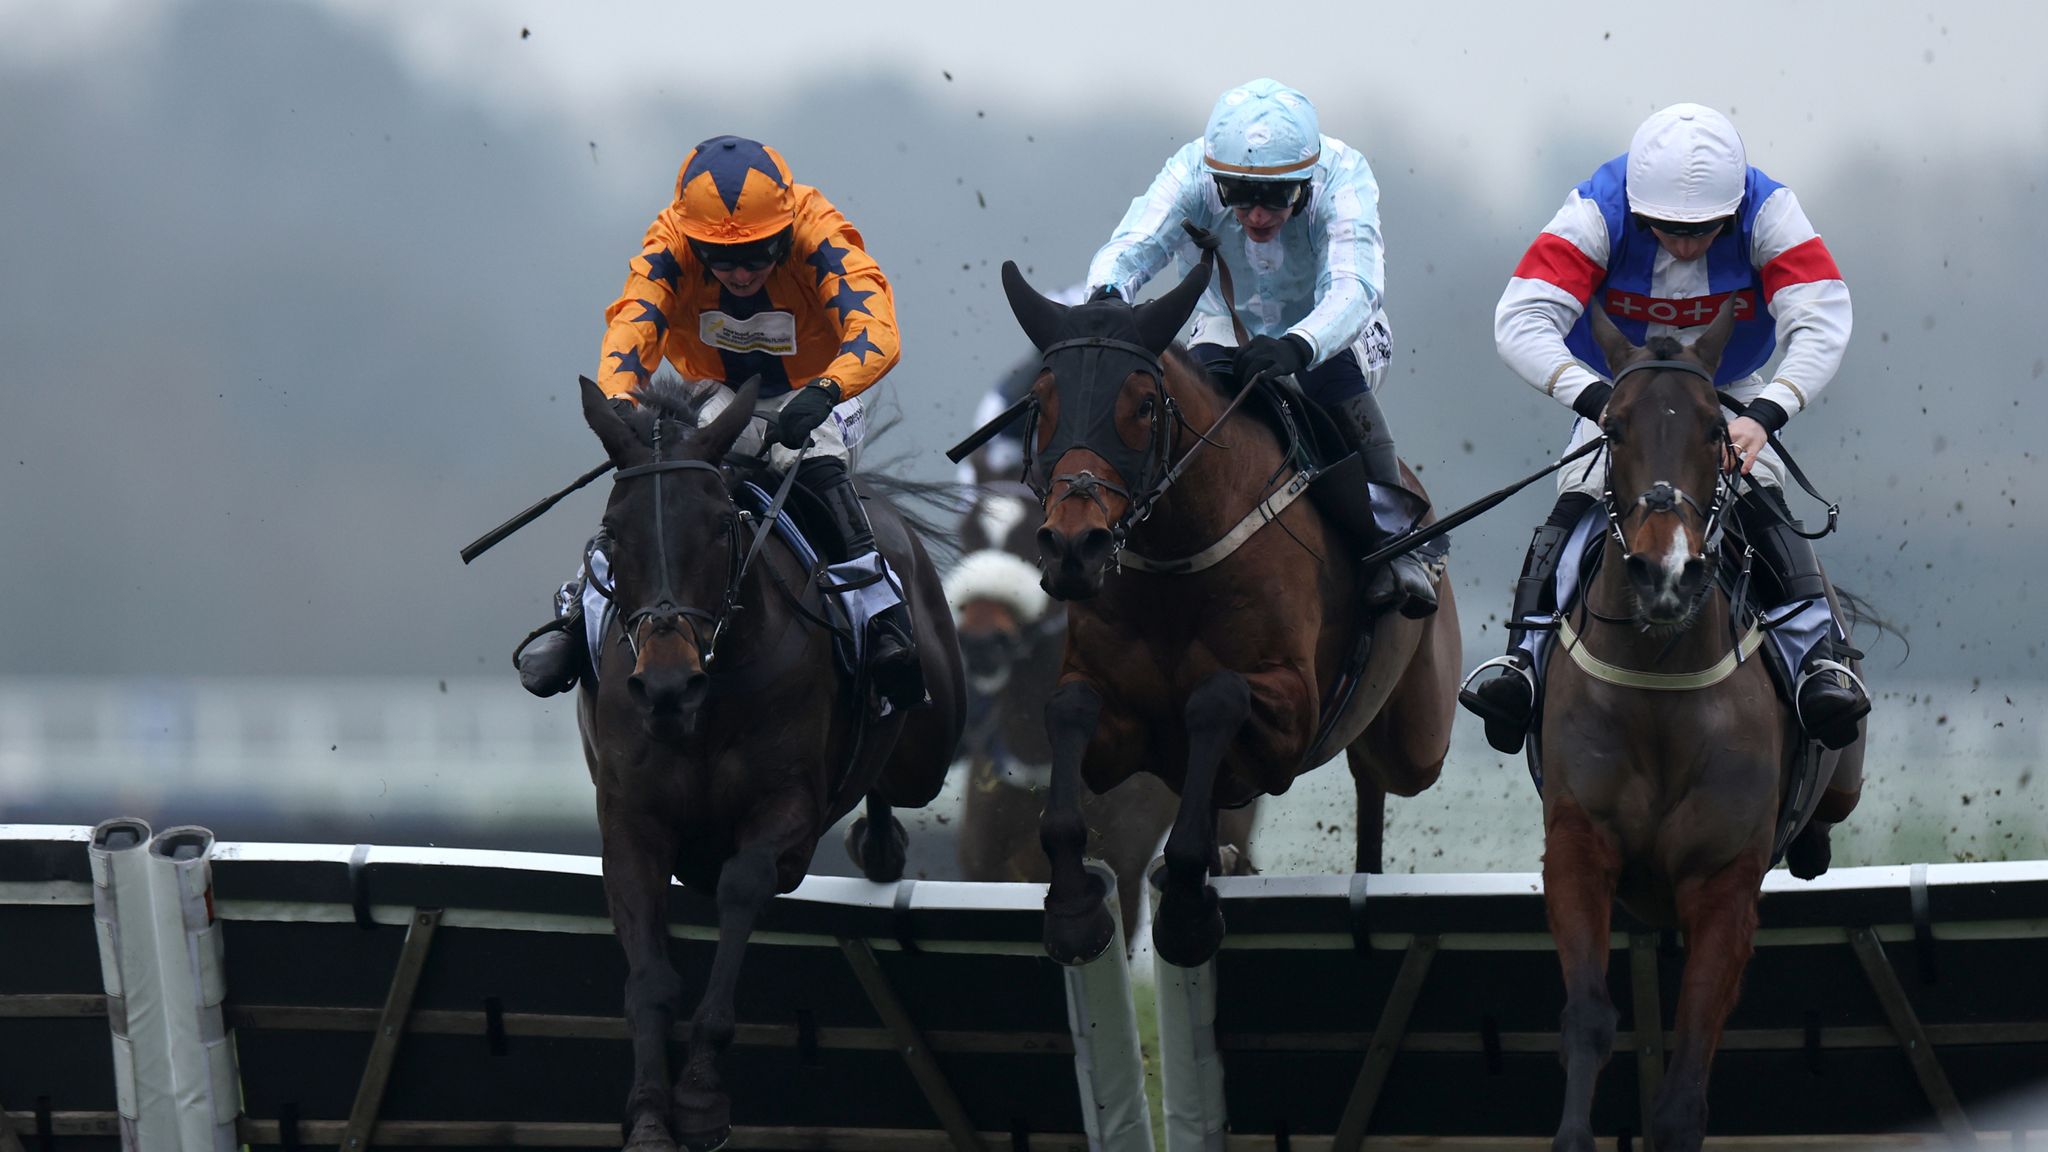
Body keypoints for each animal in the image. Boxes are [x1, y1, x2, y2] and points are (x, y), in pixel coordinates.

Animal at [573, 379, 962, 1147]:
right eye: (613, 531)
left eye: (722, 525)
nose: (667, 684)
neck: (709, 696)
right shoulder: (631, 824)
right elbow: (649, 977)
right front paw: (650, 1113)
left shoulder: (787, 813)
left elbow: (742, 885)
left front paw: (699, 1093)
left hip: (928, 746)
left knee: (898, 775)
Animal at [1003, 255, 1458, 963]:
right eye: (1040, 402)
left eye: (1142, 405)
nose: (1075, 546)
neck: (1176, 566)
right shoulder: (1120, 731)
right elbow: (1069, 709)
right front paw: (1075, 910)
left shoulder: (1294, 714)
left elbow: (1216, 696)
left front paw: (1189, 912)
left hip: (1417, 739)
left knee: (1378, 774)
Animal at [1540, 303, 1867, 1147]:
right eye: (1613, 426)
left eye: (1717, 431)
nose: (1668, 573)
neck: (1659, 684)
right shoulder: (1578, 846)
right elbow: (1588, 1018)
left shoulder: (1724, 881)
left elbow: (1687, 1075)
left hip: (1843, 777)